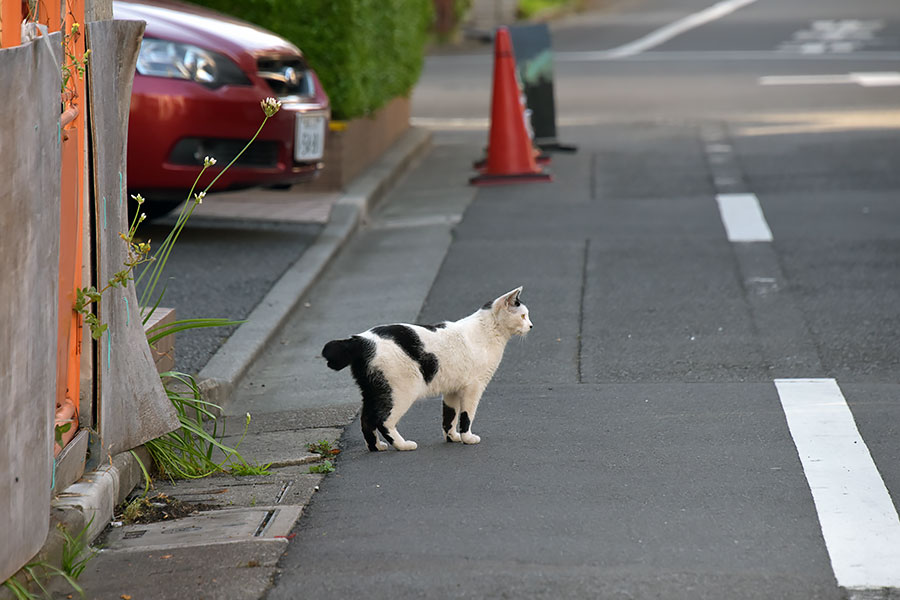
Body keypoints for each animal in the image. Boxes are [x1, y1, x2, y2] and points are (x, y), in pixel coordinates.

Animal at [324, 286, 536, 450]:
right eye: (523, 316)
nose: (531, 326)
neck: (488, 331)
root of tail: (360, 339)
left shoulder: (452, 389)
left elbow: (449, 416)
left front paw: (453, 438)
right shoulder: (473, 387)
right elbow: (467, 415)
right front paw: (467, 438)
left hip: (373, 391)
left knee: (366, 420)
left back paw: (376, 447)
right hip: (400, 391)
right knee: (383, 420)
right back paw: (403, 445)